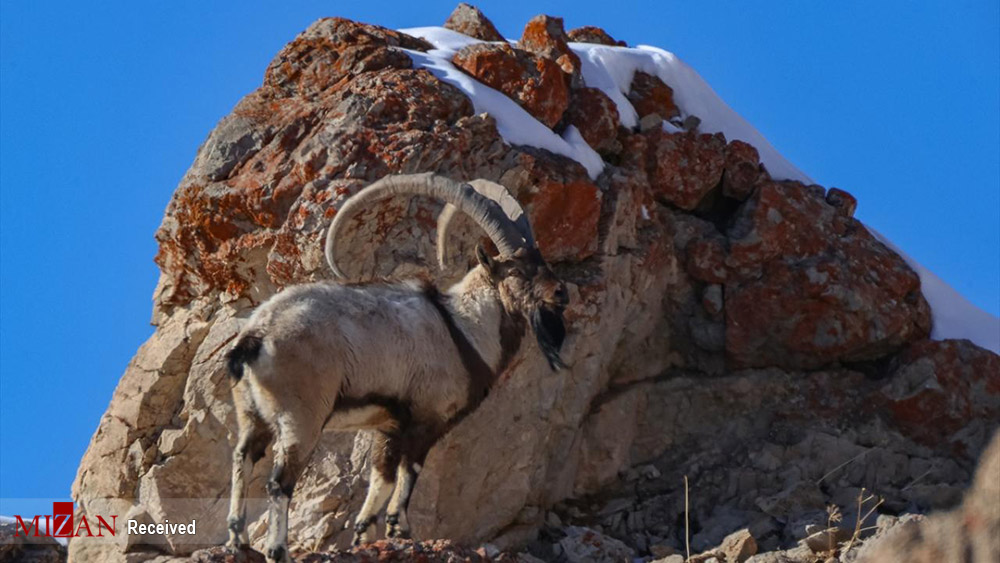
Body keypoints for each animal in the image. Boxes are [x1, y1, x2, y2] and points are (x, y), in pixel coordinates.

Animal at [228, 174, 572, 560]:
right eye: (519, 270)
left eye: (541, 261)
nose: (561, 293)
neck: (465, 328)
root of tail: (256, 336)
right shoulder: (427, 418)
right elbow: (410, 473)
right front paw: (401, 530)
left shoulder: (388, 425)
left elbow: (382, 477)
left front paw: (364, 537)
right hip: (301, 418)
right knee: (278, 482)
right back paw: (277, 549)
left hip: (251, 414)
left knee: (243, 458)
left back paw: (238, 541)